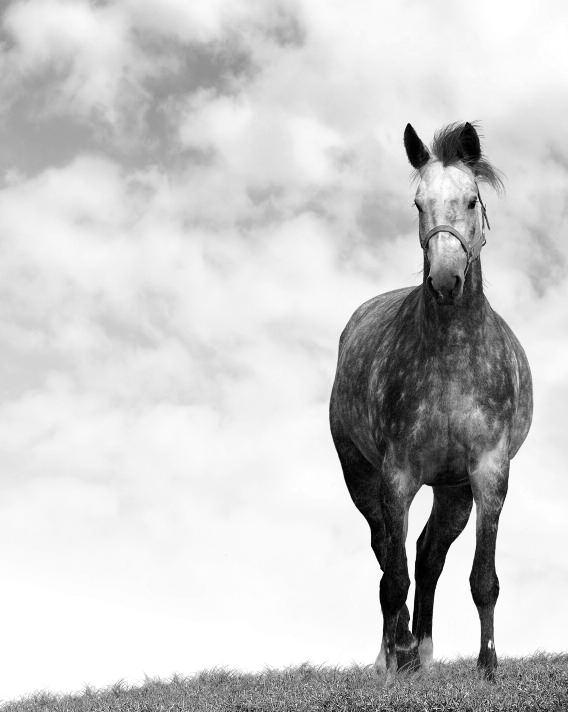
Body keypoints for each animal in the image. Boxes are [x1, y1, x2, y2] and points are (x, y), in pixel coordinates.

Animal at [328, 121, 532, 680]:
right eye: (419, 204)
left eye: (471, 199)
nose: (444, 279)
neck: (451, 358)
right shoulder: (397, 475)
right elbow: (393, 574)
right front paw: (392, 660)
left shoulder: (487, 474)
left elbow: (483, 578)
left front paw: (487, 666)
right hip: (360, 476)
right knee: (387, 552)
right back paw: (395, 651)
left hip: (452, 490)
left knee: (427, 553)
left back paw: (422, 651)